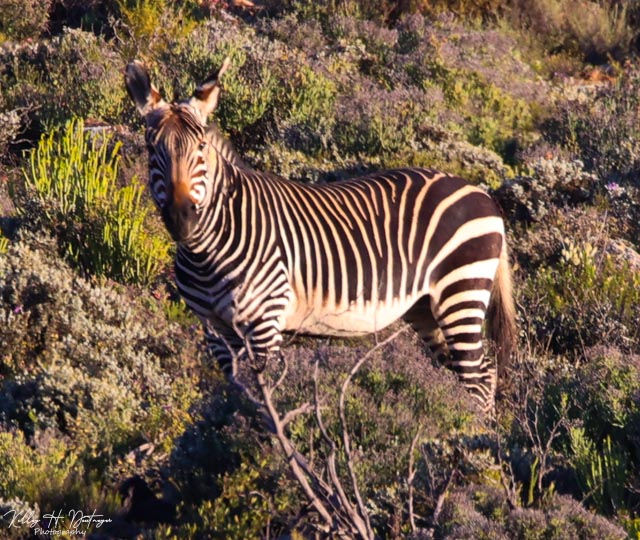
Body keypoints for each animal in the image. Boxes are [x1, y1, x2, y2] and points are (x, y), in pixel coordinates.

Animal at [125, 58, 516, 413]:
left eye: (201, 148)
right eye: (151, 149)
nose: (182, 220)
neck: (207, 254)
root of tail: (482, 194)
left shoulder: (265, 321)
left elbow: (265, 402)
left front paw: (266, 443)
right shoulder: (215, 331)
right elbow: (237, 392)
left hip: (460, 290)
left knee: (479, 375)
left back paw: (471, 436)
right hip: (425, 306)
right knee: (463, 374)